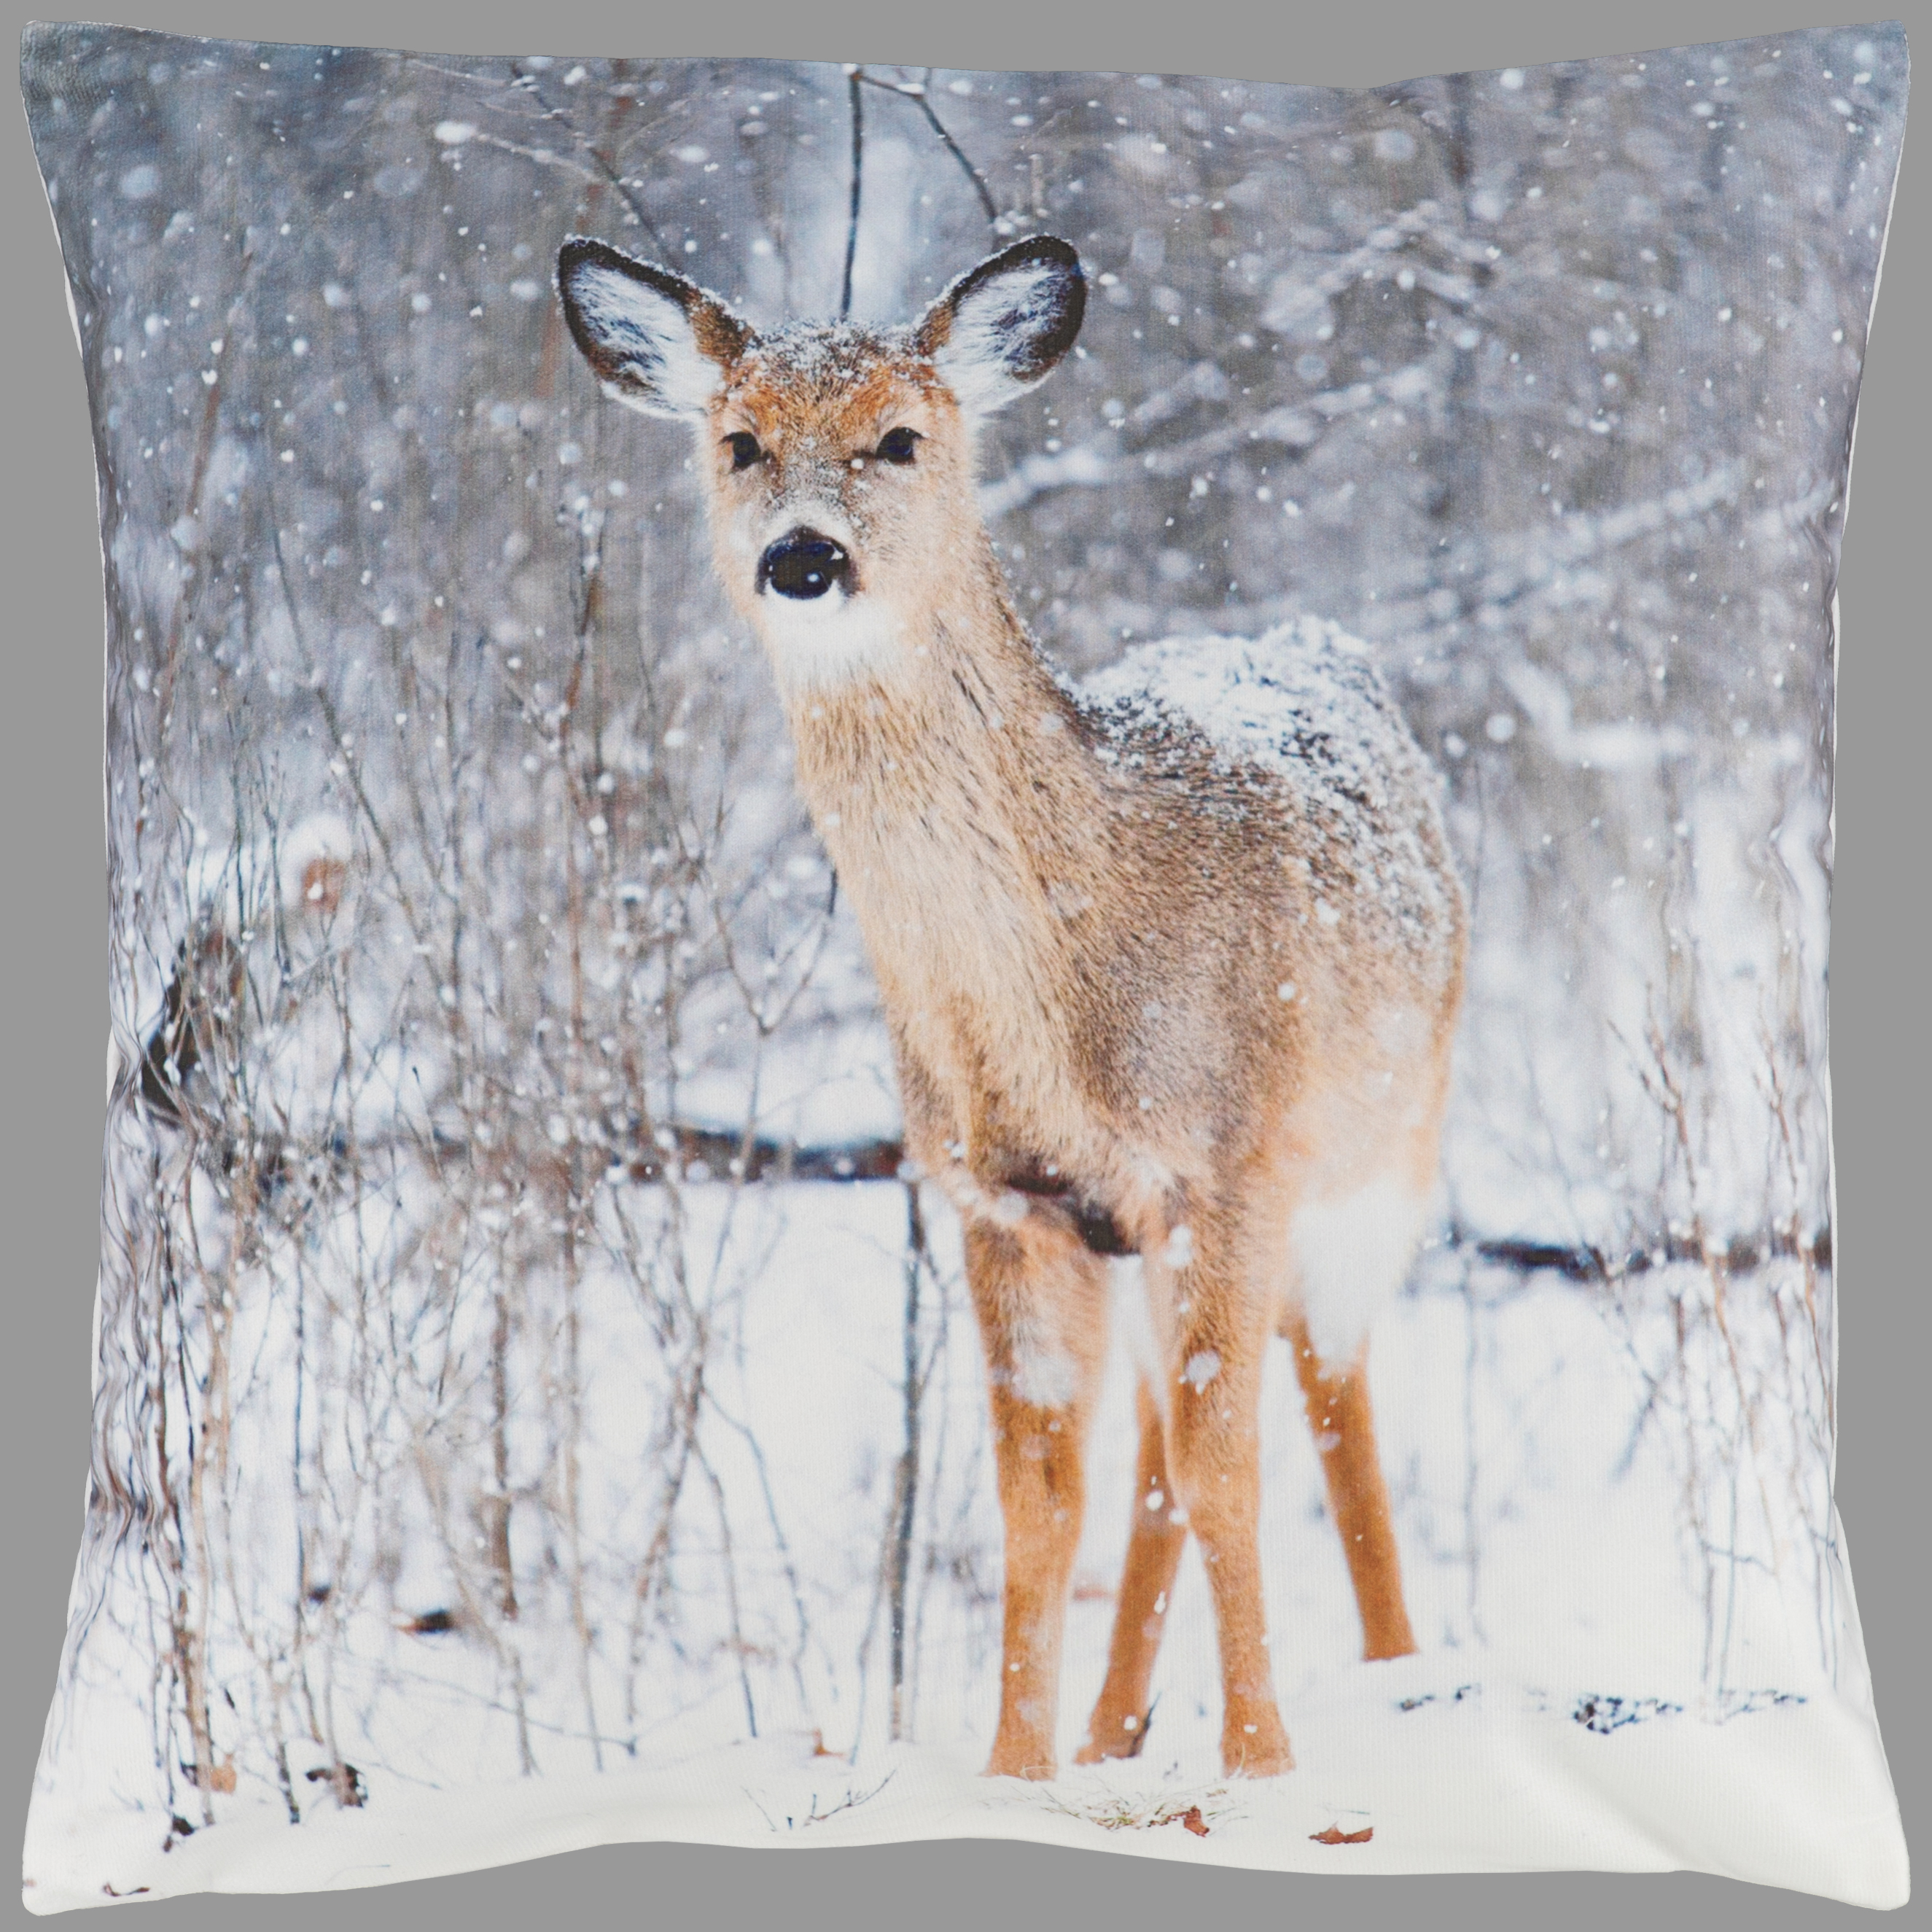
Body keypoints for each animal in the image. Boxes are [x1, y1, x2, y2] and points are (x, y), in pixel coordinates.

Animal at [557, 232, 1466, 1781]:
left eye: (900, 438)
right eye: (739, 443)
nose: (805, 556)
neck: (1060, 1008)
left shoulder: (1232, 1162)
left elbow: (1231, 1471)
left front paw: (1263, 1766)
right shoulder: (1001, 1197)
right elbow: (1041, 1502)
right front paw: (1015, 1773)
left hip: (1382, 1160)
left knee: (1332, 1398)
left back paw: (1401, 1673)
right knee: (1156, 1451)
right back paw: (1114, 1736)